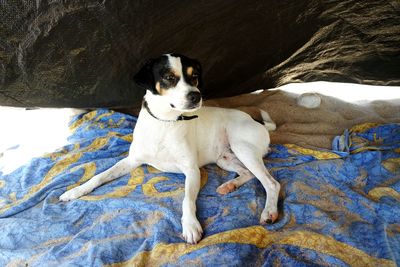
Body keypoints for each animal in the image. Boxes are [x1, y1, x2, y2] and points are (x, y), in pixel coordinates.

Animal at [60, 54, 282, 245]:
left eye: (194, 76)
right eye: (169, 77)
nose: (196, 96)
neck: (165, 122)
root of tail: (255, 121)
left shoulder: (192, 171)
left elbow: (187, 200)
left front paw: (190, 226)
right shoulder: (131, 160)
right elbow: (100, 176)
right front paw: (75, 191)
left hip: (242, 148)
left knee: (271, 183)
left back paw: (269, 212)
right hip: (225, 158)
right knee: (248, 174)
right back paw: (230, 185)